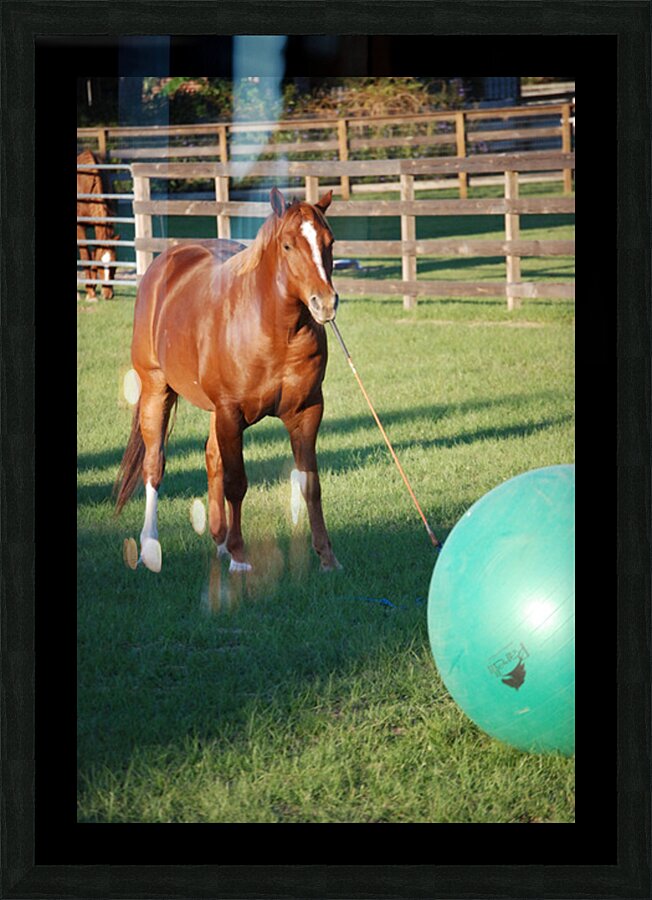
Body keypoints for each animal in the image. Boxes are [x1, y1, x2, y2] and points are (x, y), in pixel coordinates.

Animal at [77, 149, 119, 300]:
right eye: (102, 267)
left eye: (114, 266)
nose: (108, 295)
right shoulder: (80, 227)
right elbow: (86, 257)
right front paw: (90, 292)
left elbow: (94, 253)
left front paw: (93, 288)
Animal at [114, 187, 341, 574]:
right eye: (287, 245)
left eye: (329, 241)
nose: (324, 303)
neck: (273, 331)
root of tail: (166, 263)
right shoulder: (231, 413)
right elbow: (237, 483)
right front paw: (239, 557)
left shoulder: (307, 412)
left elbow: (310, 484)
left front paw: (327, 556)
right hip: (157, 390)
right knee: (154, 465)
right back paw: (151, 547)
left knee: (211, 458)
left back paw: (218, 540)